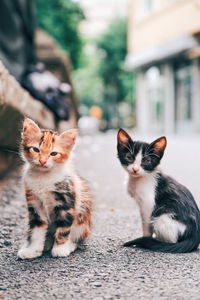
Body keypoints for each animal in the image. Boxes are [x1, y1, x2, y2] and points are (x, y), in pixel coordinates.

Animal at [17, 118, 92, 258]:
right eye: (36, 150)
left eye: (54, 153)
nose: (42, 161)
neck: (43, 177)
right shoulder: (34, 204)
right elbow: (37, 229)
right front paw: (33, 249)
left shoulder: (67, 202)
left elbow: (63, 227)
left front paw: (60, 248)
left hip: (83, 221)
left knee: (77, 238)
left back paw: (69, 245)